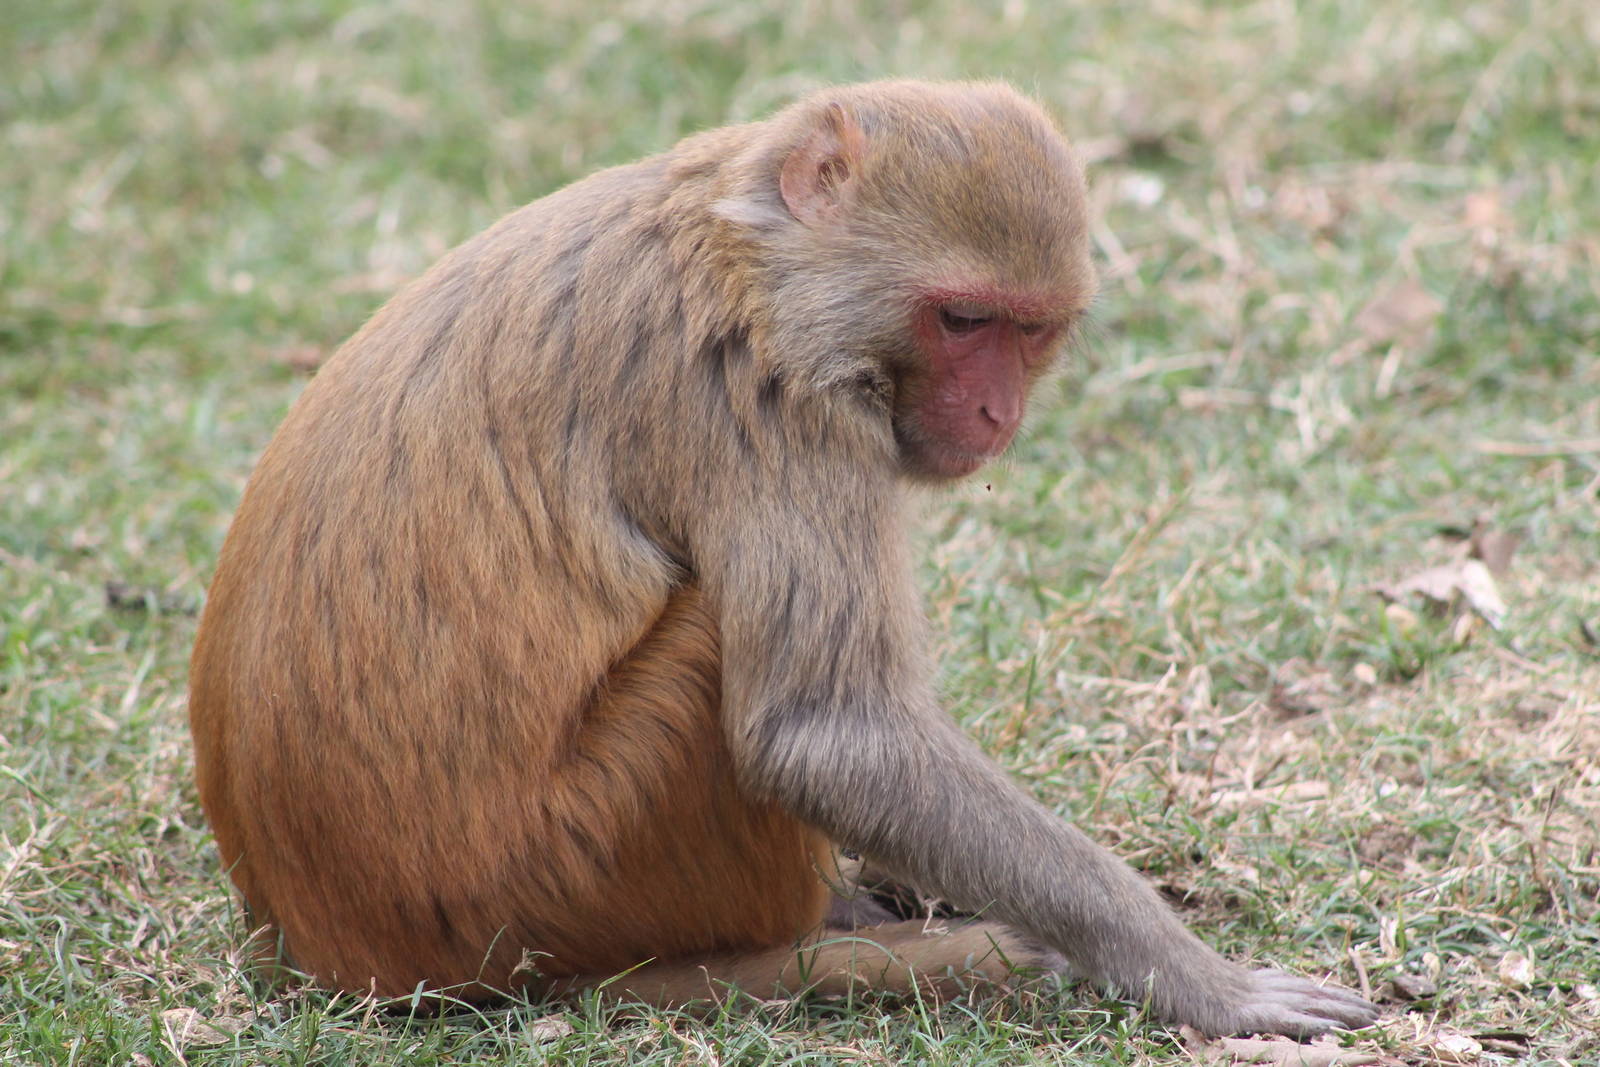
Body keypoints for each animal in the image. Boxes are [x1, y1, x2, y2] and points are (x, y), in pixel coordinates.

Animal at [188, 80, 1378, 1037]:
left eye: (1030, 329)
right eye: (961, 319)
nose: (996, 414)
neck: (747, 251)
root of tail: (341, 950)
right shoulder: (772, 398)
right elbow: (824, 732)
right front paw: (1190, 973)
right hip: (574, 866)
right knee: (715, 643)